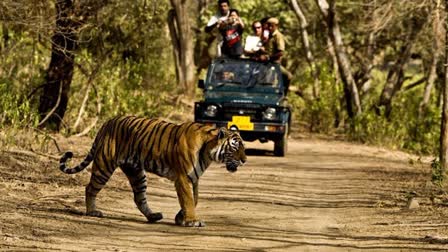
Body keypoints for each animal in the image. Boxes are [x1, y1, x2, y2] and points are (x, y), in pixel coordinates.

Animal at [58, 115, 247, 227]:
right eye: (235, 147)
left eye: (243, 147)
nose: (245, 160)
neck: (208, 152)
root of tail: (108, 121)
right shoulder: (183, 177)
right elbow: (188, 199)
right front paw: (192, 221)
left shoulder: (194, 179)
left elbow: (194, 199)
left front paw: (181, 218)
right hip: (104, 165)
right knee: (90, 188)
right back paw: (92, 212)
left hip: (136, 172)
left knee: (139, 197)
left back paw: (153, 216)